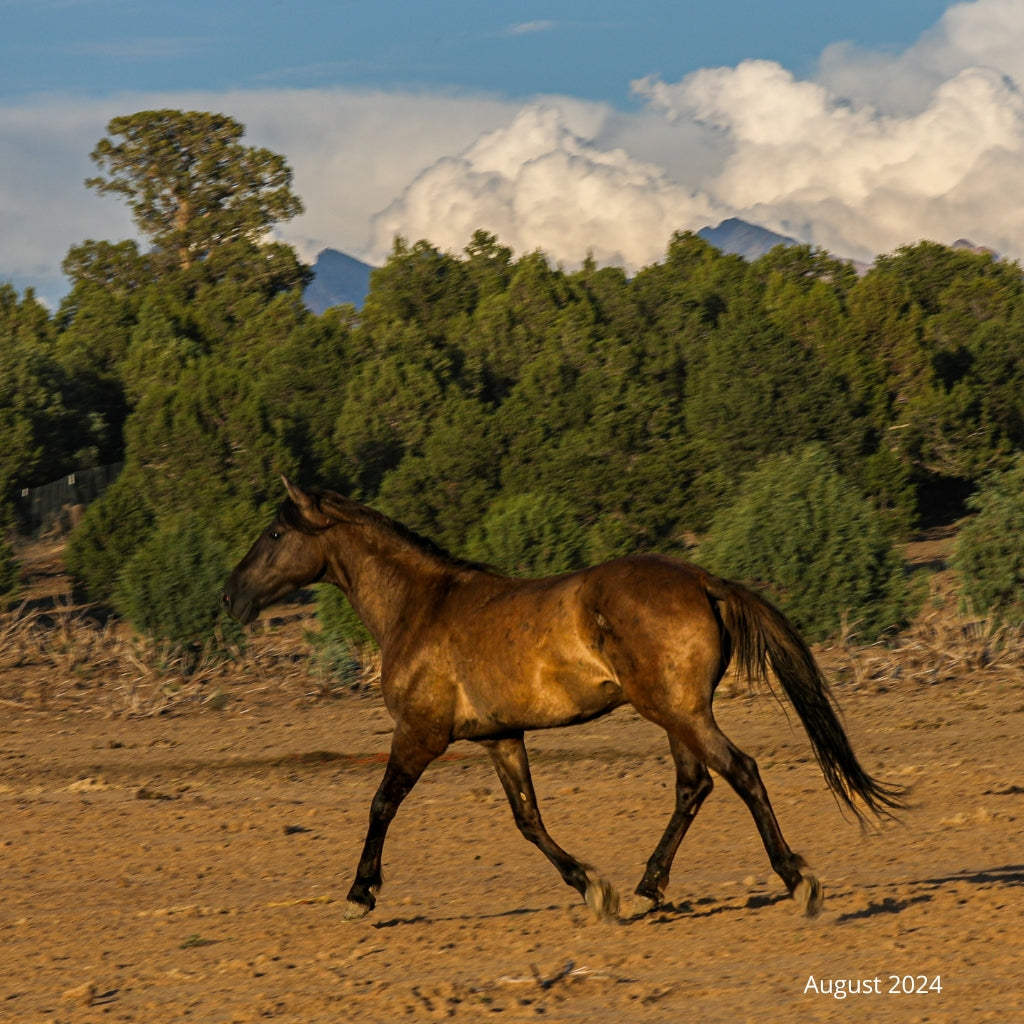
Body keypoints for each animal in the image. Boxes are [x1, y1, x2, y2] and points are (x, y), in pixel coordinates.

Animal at [220, 477, 901, 921]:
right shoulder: (500, 737)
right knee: (695, 785)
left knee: (741, 772)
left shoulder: (420, 734)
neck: (420, 606)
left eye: (275, 532)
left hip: (678, 711)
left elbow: (381, 804)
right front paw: (594, 889)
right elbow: (528, 819)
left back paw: (796, 880)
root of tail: (703, 578)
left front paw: (360, 894)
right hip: (674, 713)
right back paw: (649, 886)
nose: (230, 596)